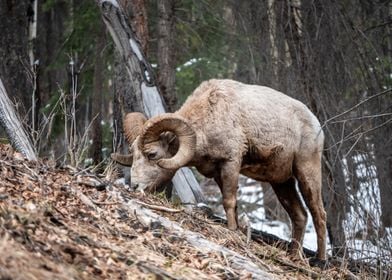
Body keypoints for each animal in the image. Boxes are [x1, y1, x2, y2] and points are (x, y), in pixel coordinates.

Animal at [112, 79, 326, 260]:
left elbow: (229, 202)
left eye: (152, 154)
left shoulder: (231, 163)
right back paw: (294, 257)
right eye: (133, 154)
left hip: (307, 172)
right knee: (300, 216)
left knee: (319, 214)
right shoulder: (217, 174)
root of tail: (316, 124)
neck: (210, 115)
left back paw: (320, 261)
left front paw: (232, 231)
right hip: (281, 182)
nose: (134, 186)